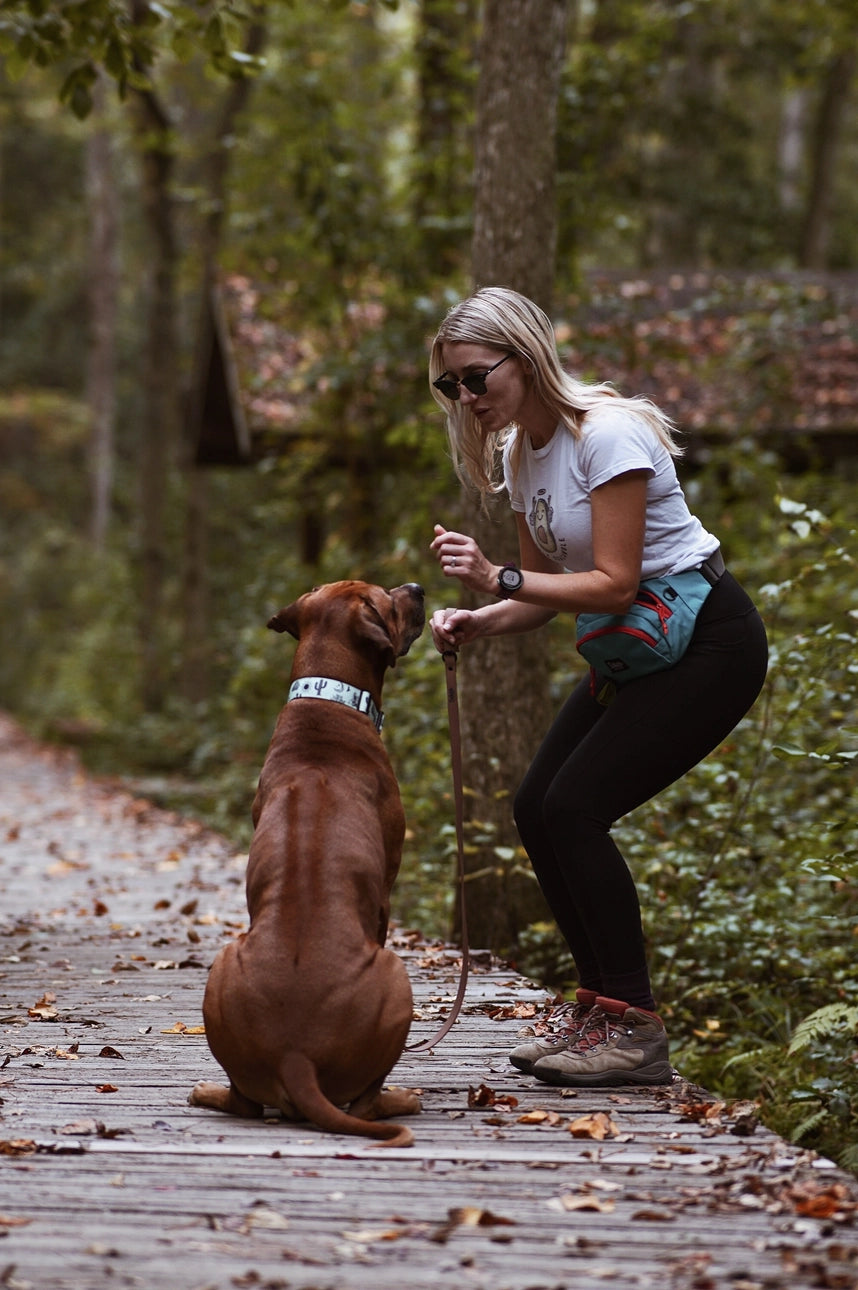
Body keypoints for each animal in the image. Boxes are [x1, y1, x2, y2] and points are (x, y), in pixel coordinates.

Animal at [190, 580, 425, 1145]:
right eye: (388, 597)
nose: (418, 587)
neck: (327, 700)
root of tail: (296, 1057)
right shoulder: (385, 894)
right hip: (395, 972)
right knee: (366, 1103)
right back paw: (401, 1097)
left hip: (223, 963)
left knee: (243, 1101)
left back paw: (208, 1091)